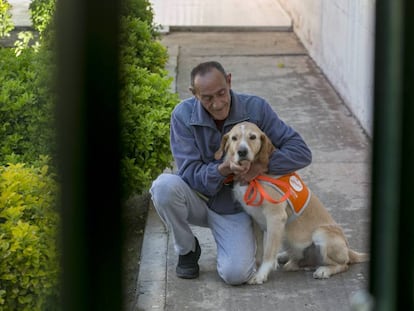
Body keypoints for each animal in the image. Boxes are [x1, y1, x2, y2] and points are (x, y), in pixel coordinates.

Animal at [215, 121, 368, 286]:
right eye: (234, 138)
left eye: (252, 137)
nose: (242, 151)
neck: (255, 177)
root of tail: (349, 250)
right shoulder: (254, 219)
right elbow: (260, 251)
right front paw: (258, 267)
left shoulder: (275, 217)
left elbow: (268, 252)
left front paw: (261, 274)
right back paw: (286, 258)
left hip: (320, 234)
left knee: (343, 264)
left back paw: (324, 270)